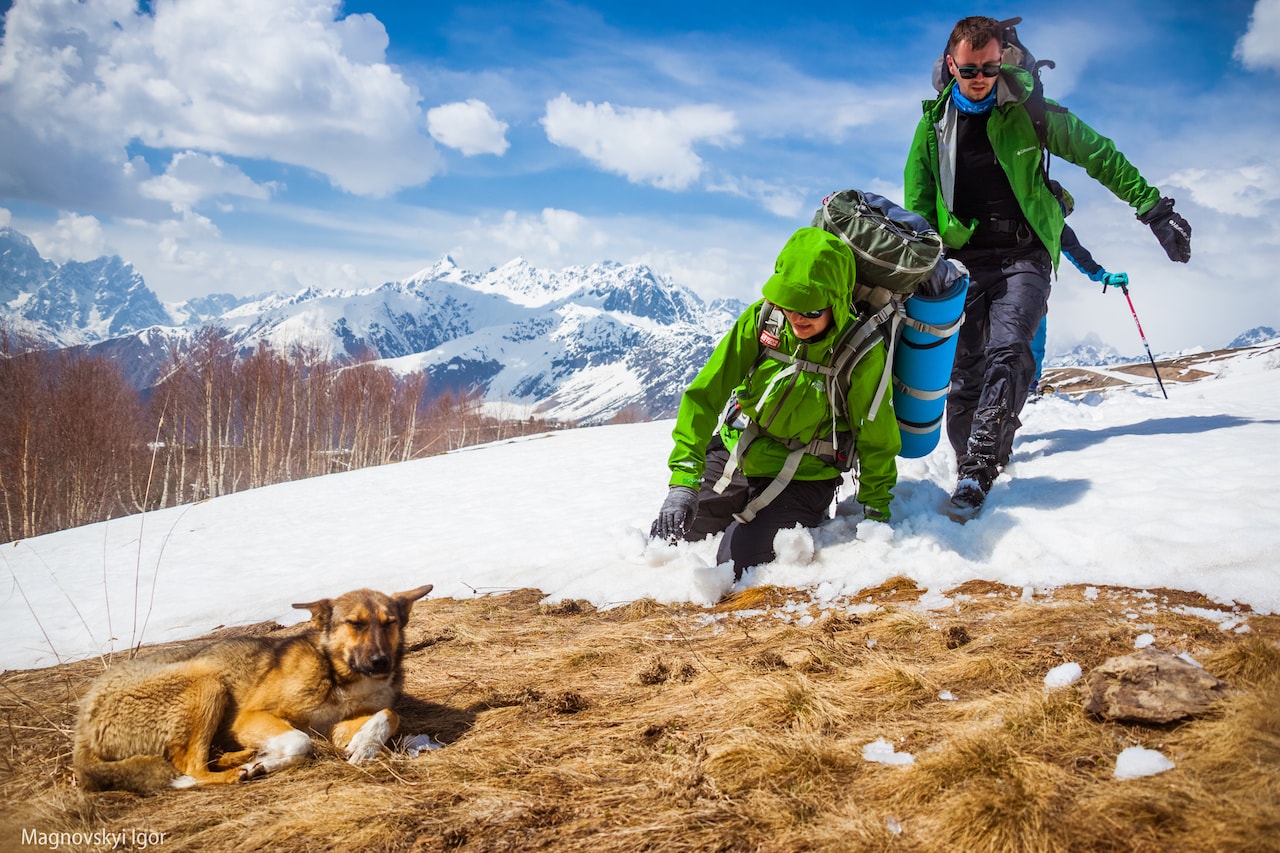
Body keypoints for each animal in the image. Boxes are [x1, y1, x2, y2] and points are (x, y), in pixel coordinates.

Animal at [74, 584, 435, 788]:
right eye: (355, 624)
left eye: (389, 624)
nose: (380, 662)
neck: (341, 677)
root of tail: (82, 727)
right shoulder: (250, 717)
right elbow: (301, 741)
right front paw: (269, 762)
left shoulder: (337, 724)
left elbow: (389, 714)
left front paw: (365, 745)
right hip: (207, 682)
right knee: (192, 767)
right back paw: (235, 771)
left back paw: (239, 758)